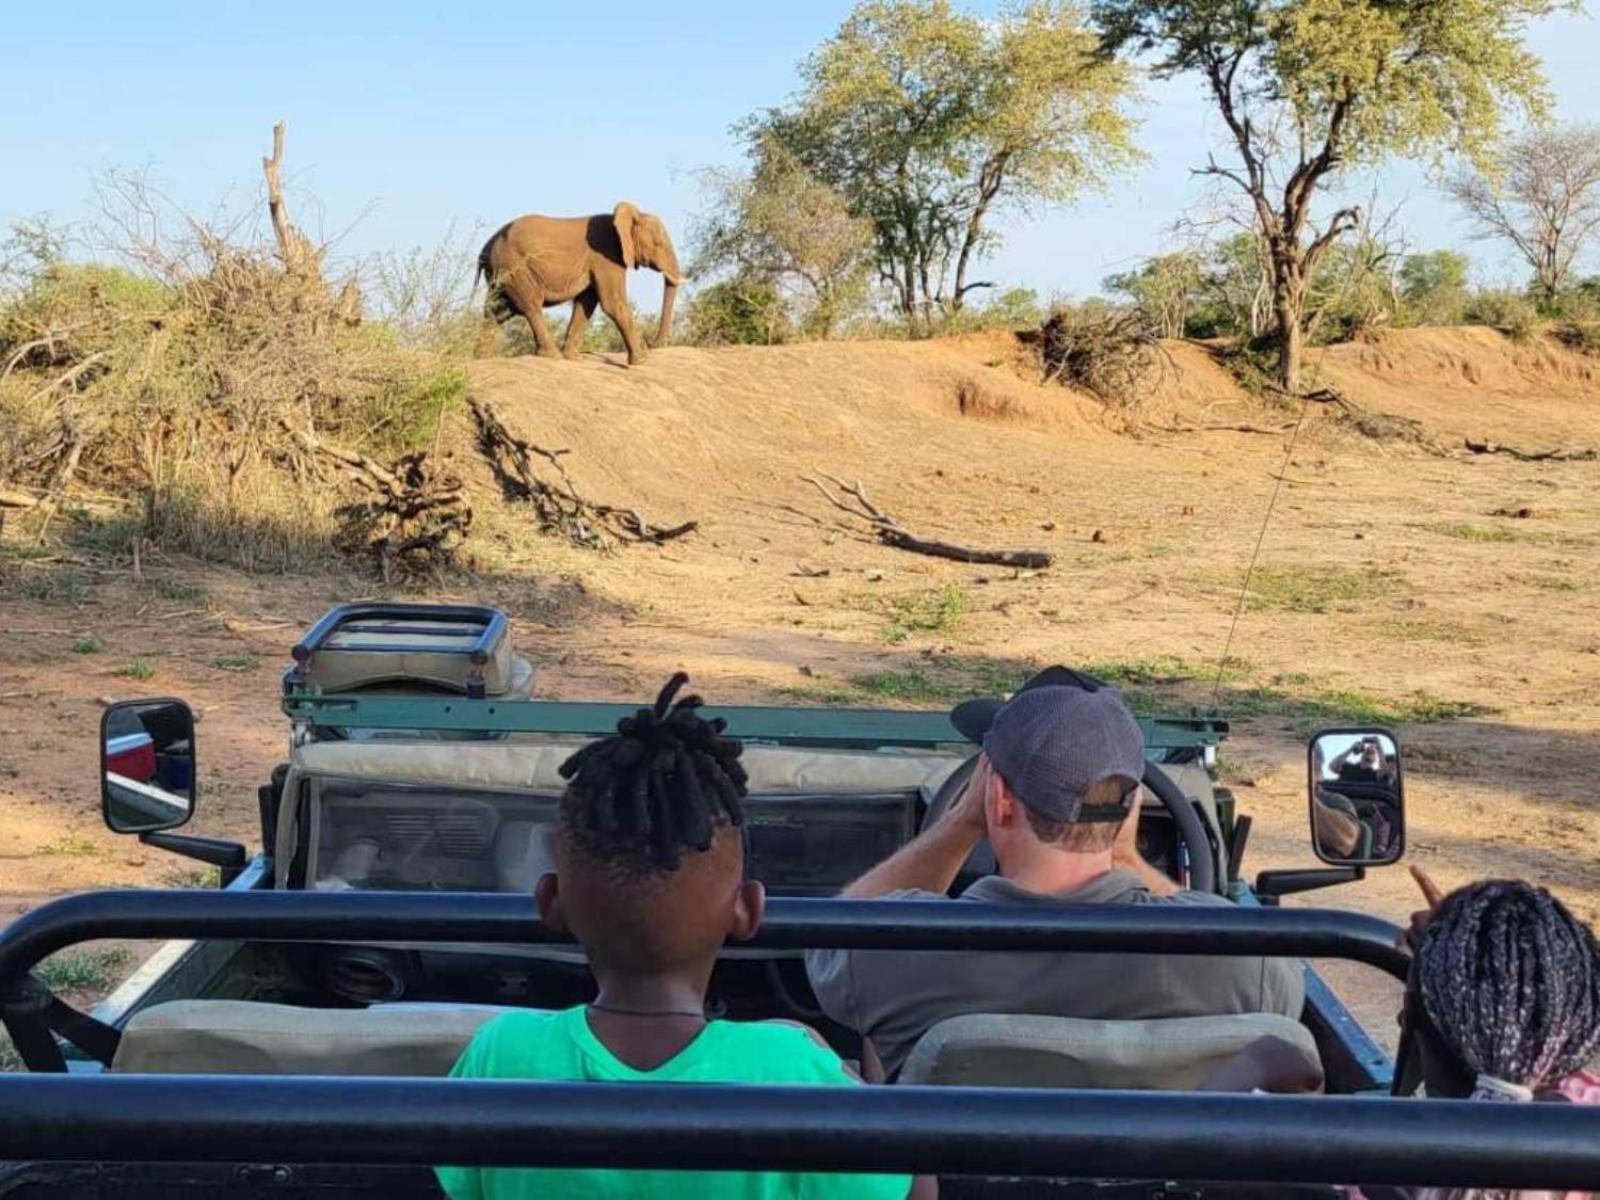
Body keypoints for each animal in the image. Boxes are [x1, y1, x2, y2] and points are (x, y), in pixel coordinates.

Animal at [470, 200, 678, 366]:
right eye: (659, 244)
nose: (650, 343)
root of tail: (484, 249)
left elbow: (586, 303)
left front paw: (573, 358)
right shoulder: (606, 257)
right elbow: (613, 304)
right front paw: (641, 360)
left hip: (503, 273)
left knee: (497, 312)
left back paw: (482, 359)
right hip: (514, 267)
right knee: (530, 305)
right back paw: (552, 355)